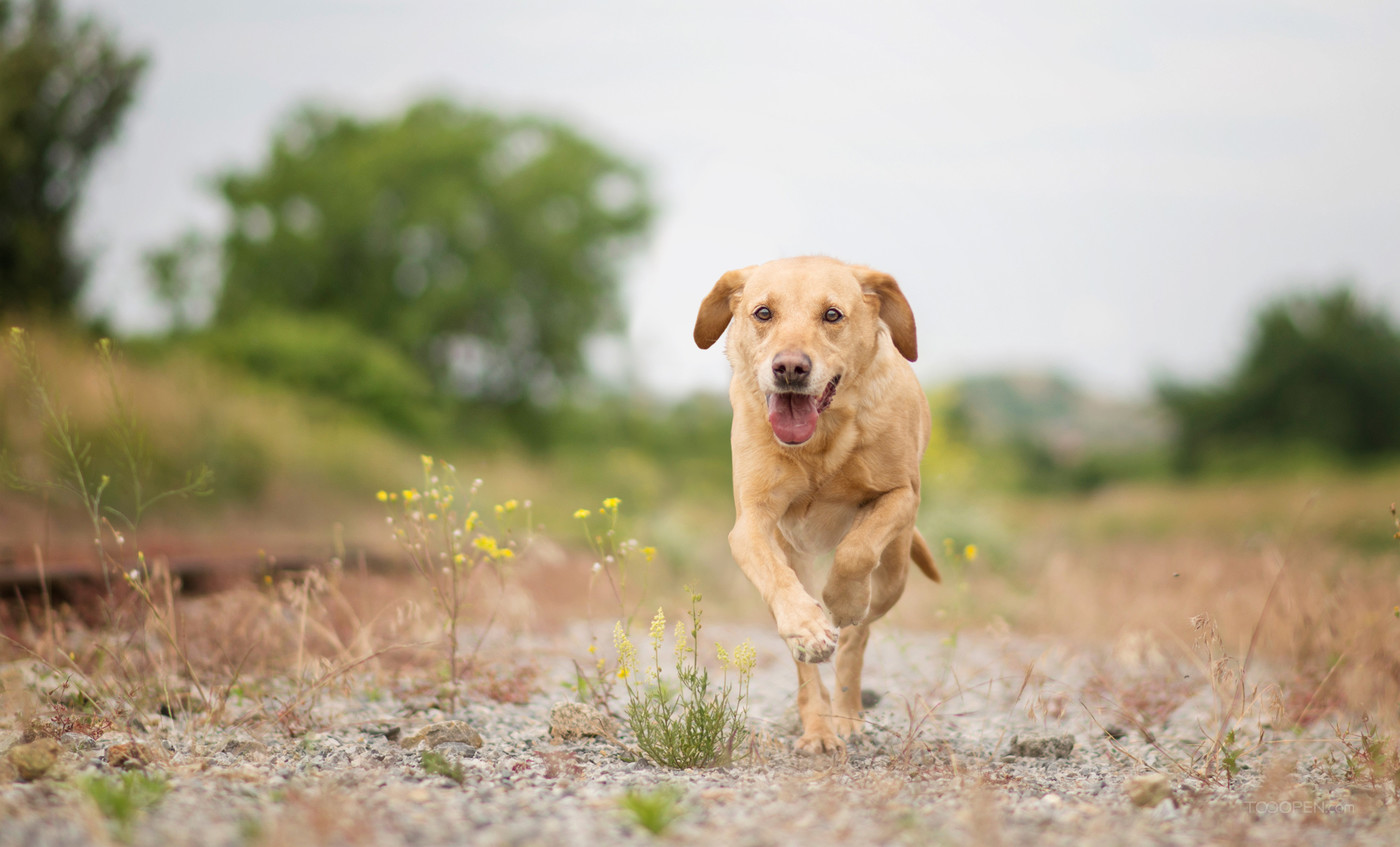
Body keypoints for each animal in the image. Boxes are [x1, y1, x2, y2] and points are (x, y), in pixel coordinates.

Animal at [691, 252, 940, 750]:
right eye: (763, 313)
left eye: (832, 315)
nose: (790, 367)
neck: (821, 442)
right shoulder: (751, 522)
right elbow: (779, 582)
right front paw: (808, 628)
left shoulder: (901, 496)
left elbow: (857, 549)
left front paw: (843, 600)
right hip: (795, 558)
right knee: (806, 660)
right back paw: (820, 727)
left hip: (894, 575)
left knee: (856, 639)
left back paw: (845, 712)